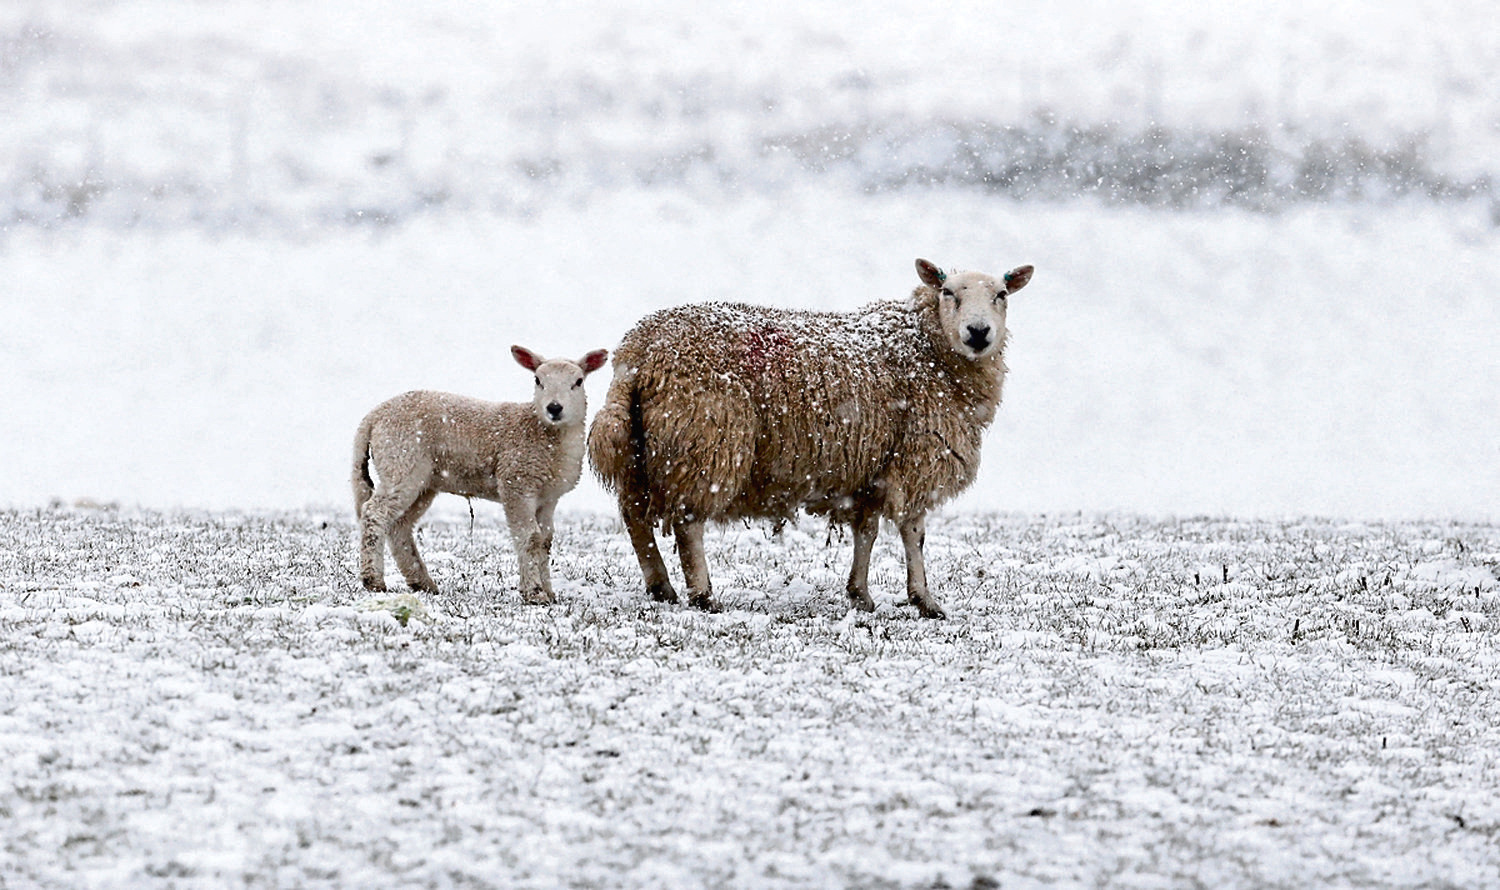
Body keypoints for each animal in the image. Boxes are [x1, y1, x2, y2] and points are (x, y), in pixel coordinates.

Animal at [352, 343, 609, 600]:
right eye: (538, 380)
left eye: (578, 382)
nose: (554, 408)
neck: (542, 433)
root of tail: (374, 415)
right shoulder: (516, 482)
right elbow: (529, 538)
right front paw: (534, 593)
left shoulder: (548, 497)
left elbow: (545, 541)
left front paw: (548, 592)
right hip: (401, 460)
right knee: (374, 512)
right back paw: (373, 580)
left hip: (423, 481)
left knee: (400, 526)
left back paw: (422, 582)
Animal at [591, 256, 1038, 618]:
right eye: (948, 292)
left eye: (1001, 294)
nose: (978, 332)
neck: (927, 349)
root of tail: (637, 353)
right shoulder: (916, 459)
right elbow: (914, 533)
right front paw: (924, 600)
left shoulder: (869, 469)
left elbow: (867, 532)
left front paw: (860, 595)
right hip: (705, 441)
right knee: (688, 524)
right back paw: (702, 594)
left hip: (640, 450)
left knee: (635, 519)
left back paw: (660, 587)